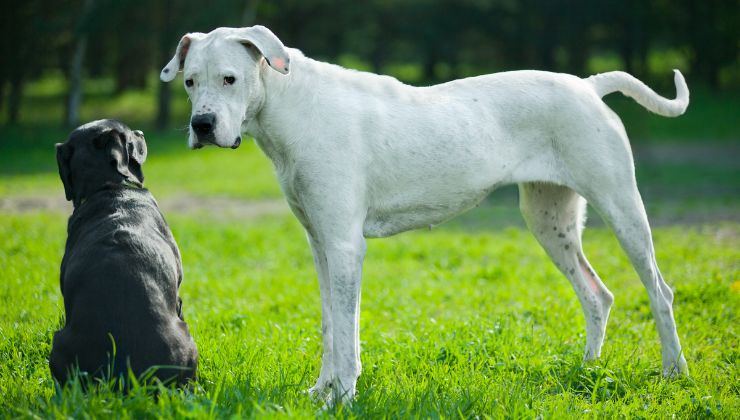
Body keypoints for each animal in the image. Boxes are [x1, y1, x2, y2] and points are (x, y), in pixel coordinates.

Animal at [160, 25, 688, 404]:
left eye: (230, 79)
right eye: (190, 82)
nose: (202, 125)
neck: (295, 108)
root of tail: (588, 86)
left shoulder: (345, 247)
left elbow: (347, 334)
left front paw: (342, 398)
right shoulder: (321, 245)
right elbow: (331, 327)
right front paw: (321, 391)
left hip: (622, 208)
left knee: (659, 291)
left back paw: (673, 373)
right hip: (549, 221)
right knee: (597, 295)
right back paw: (588, 369)